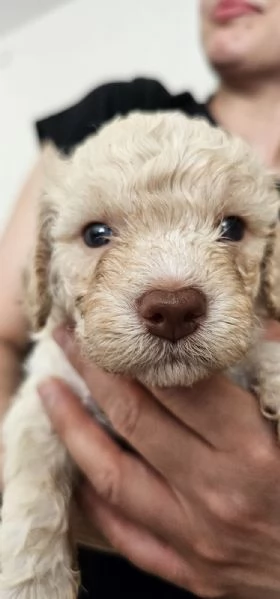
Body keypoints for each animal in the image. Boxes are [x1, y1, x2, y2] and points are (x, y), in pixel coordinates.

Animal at [0, 113, 280, 599]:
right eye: (96, 234)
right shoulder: (45, 396)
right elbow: (34, 482)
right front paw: (33, 585)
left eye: (232, 228)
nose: (174, 309)